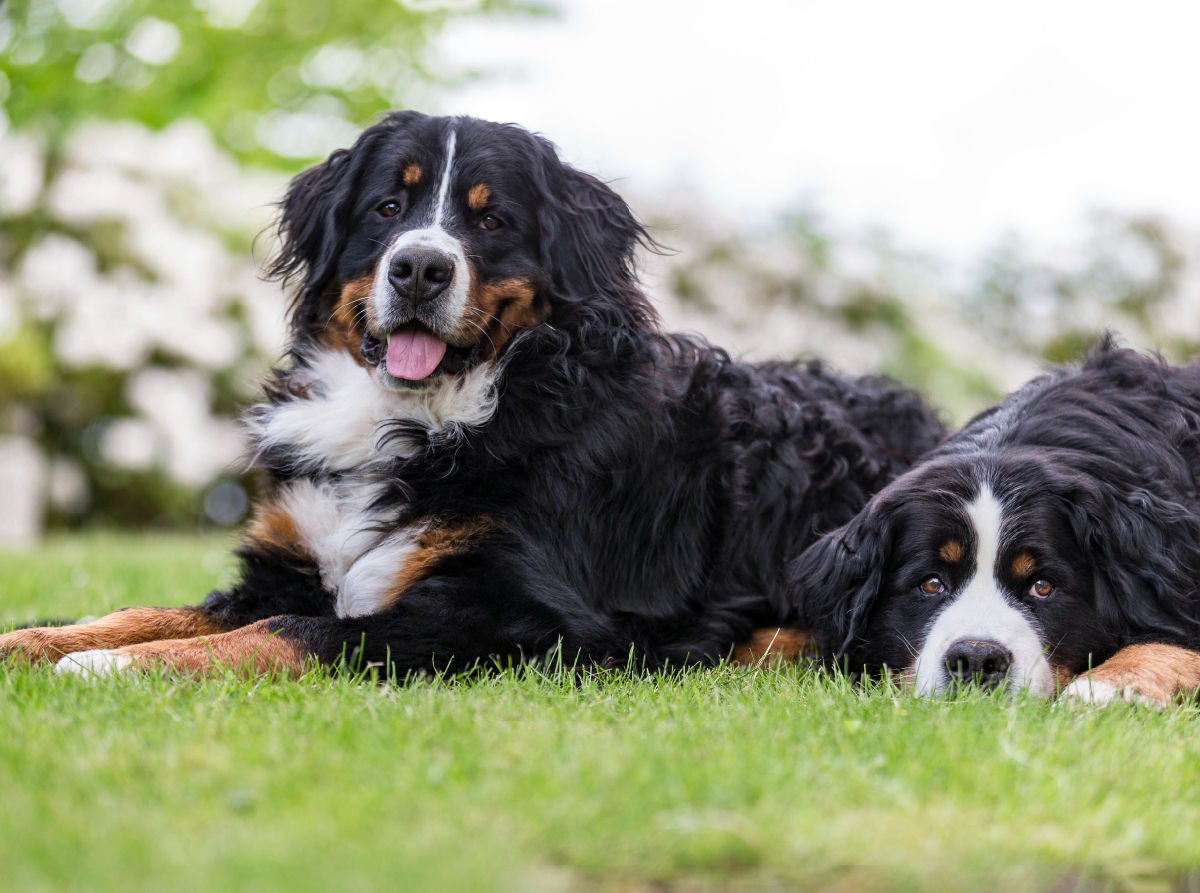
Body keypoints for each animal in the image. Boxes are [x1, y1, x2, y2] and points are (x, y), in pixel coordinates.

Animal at [2, 115, 945, 681]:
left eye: (492, 219)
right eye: (389, 205)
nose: (421, 266)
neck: (428, 418)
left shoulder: (519, 614)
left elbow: (295, 633)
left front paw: (110, 669)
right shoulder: (286, 567)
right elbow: (138, 610)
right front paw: (35, 640)